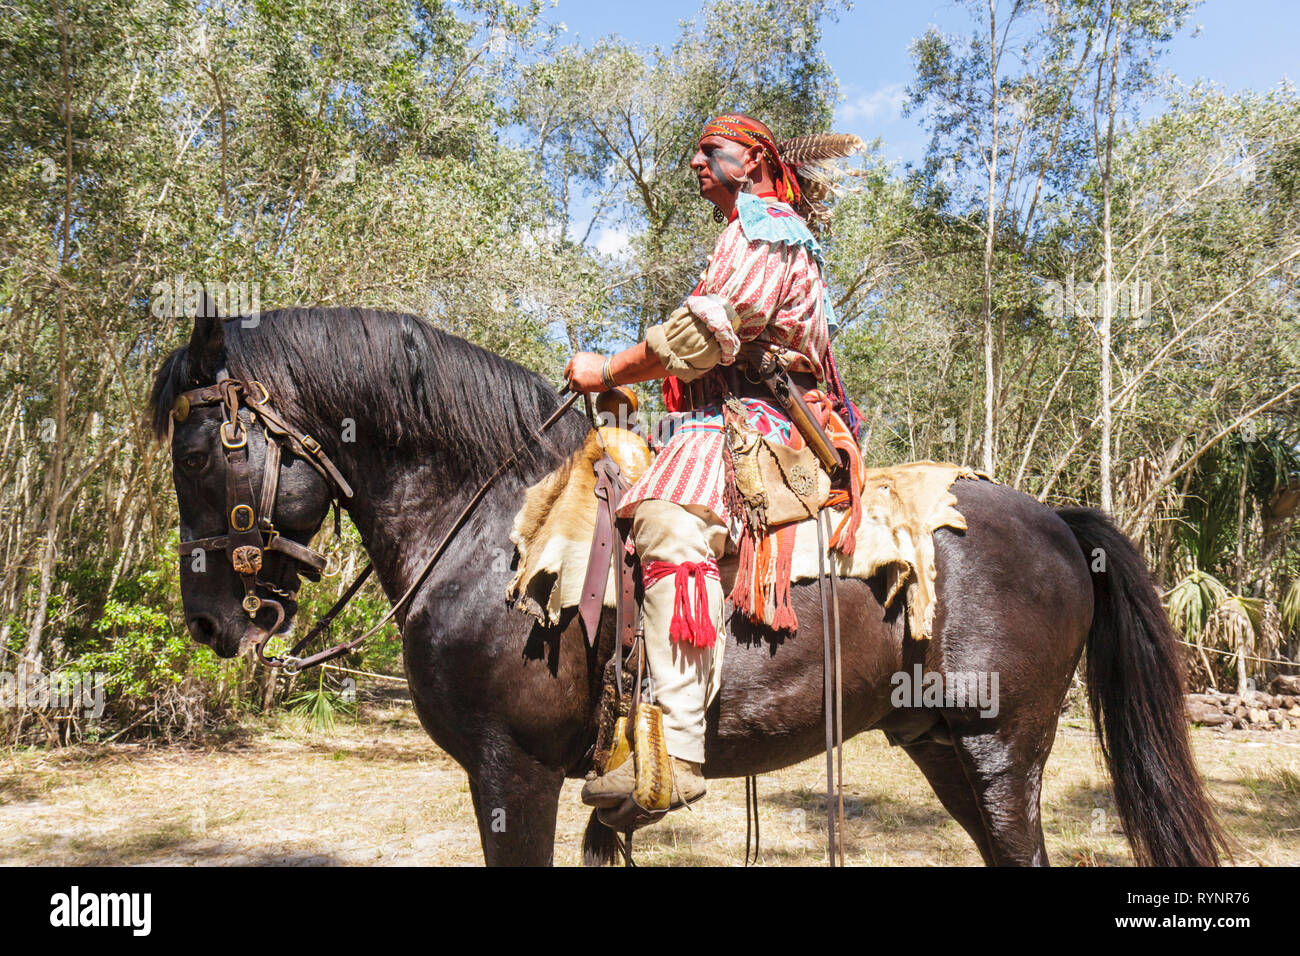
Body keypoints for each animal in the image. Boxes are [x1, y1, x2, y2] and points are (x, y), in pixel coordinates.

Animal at [149, 304, 1227, 867]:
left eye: (196, 450)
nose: (207, 622)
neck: (490, 530)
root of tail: (1060, 522)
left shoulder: (511, 770)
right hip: (944, 748)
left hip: (999, 751)